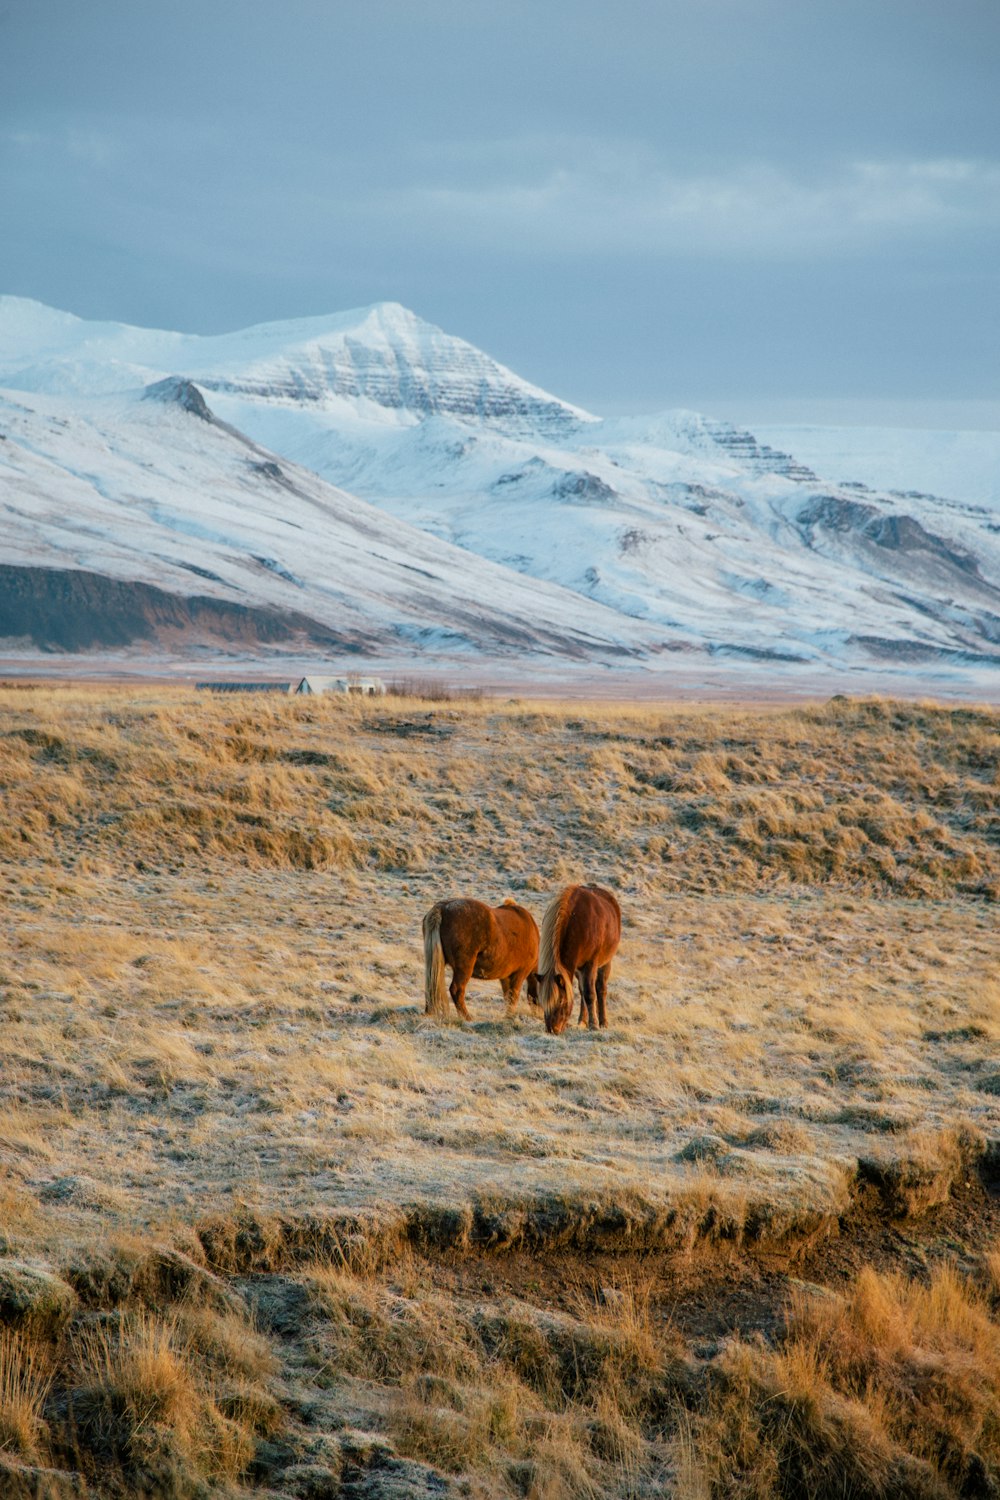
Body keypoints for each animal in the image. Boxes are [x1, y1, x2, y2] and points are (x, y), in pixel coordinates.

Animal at [422, 894, 539, 1026]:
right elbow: (513, 996)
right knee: (456, 990)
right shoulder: (520, 973)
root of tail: (442, 908)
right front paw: (510, 1017)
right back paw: (467, 1018)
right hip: (464, 968)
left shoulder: (505, 977)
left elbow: (508, 997)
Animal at [536, 882, 620, 1038]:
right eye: (543, 1001)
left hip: (605, 963)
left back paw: (603, 1022)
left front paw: (594, 1025)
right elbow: (583, 992)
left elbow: (590, 994)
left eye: (561, 1001)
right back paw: (582, 1020)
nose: (552, 1029)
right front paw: (585, 1022)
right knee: (582, 992)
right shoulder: (576, 967)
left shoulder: (590, 964)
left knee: (601, 989)